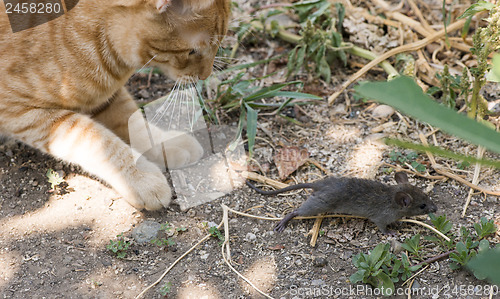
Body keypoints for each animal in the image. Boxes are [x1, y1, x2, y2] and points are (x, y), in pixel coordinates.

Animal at [0, 0, 230, 211]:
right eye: (192, 51)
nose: (206, 75)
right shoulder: (22, 114)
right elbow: (101, 140)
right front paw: (141, 179)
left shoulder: (107, 97)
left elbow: (136, 124)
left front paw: (165, 144)